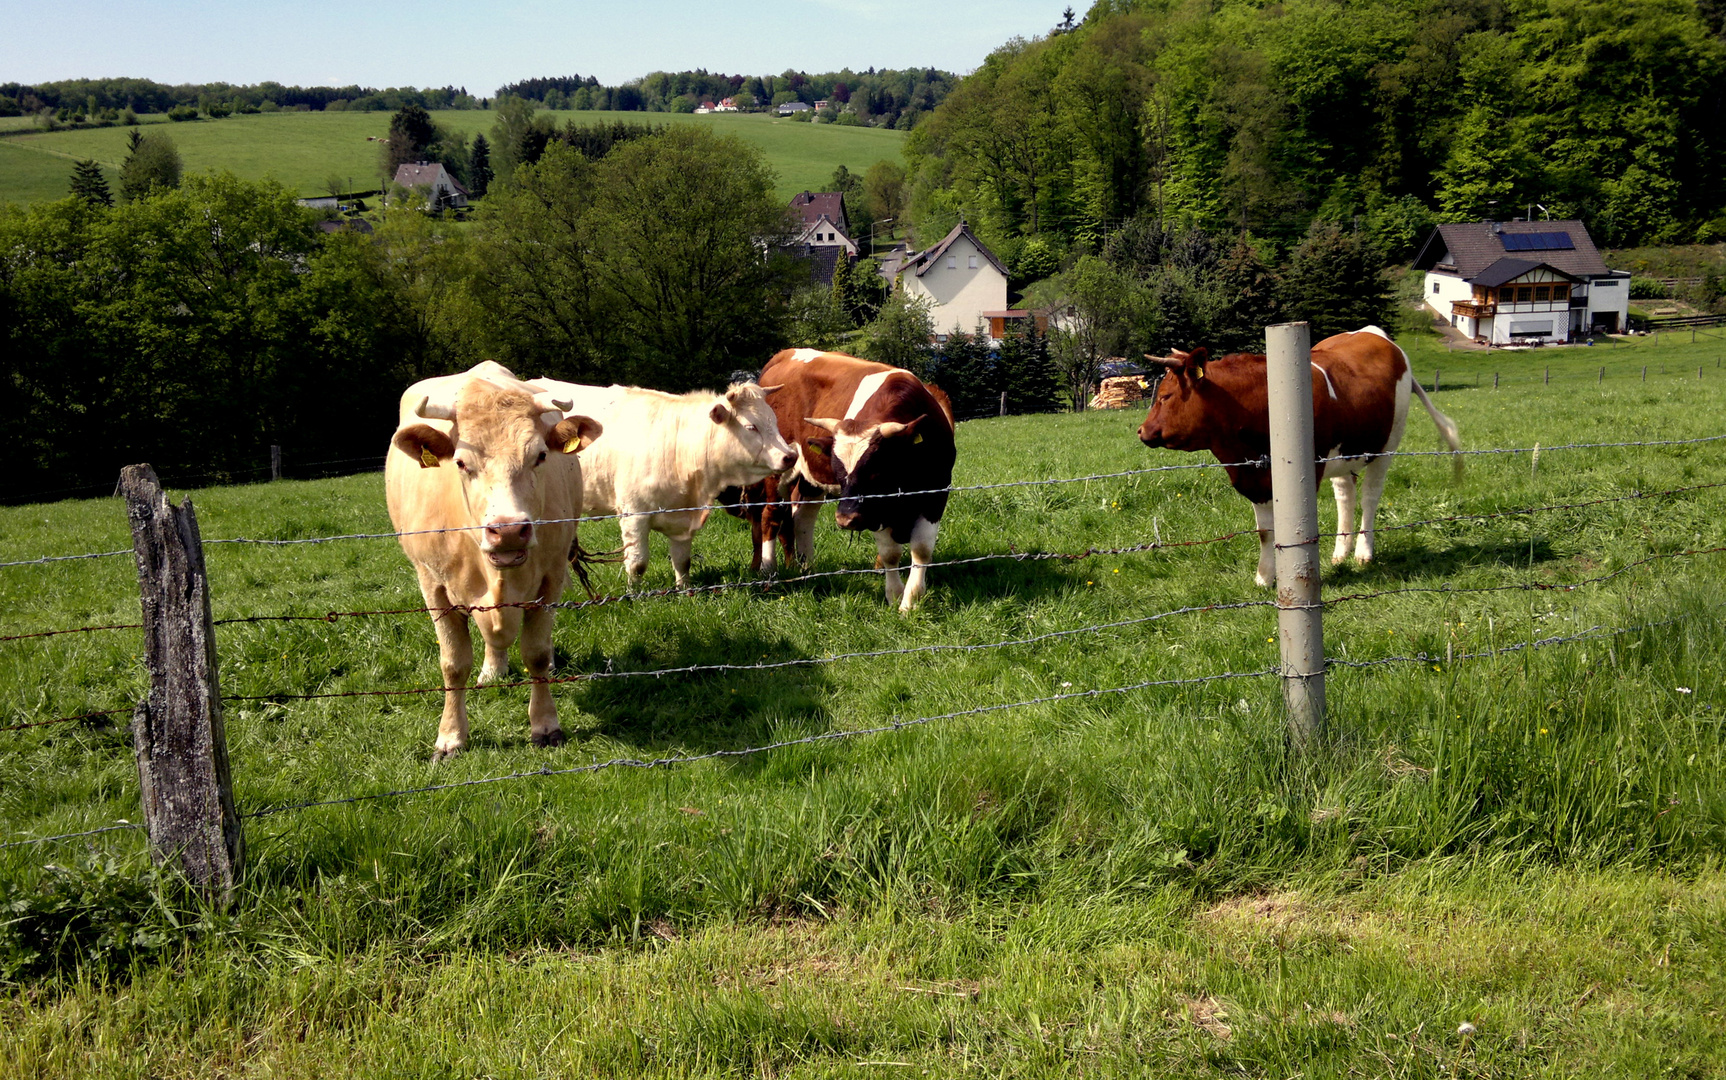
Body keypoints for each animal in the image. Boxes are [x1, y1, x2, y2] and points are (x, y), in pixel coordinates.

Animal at [388, 358, 604, 755]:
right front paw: (450, 736)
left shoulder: (551, 578)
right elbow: (453, 663)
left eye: (540, 456)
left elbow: (537, 654)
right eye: (460, 462)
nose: (507, 531)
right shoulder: (432, 584)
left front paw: (545, 725)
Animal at [528, 374, 797, 583]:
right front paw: (634, 597)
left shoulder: (685, 516)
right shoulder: (634, 514)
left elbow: (683, 561)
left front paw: (684, 592)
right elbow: (637, 564)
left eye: (774, 420)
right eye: (751, 426)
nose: (790, 456)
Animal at [728, 348, 959, 610]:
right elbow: (890, 553)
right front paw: (895, 596)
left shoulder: (936, 493)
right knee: (772, 515)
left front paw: (911, 602)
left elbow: (921, 550)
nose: (845, 519)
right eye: (838, 471)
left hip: (809, 479)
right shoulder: (874, 510)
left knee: (803, 517)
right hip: (777, 471)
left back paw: (808, 569)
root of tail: (785, 353)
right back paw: (769, 570)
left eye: (875, 470)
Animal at [1139, 326, 1463, 583]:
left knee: (1371, 496)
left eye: (1165, 396)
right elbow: (1265, 532)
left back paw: (1363, 552)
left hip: (1386, 446)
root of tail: (1374, 334)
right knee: (1345, 495)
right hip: (1343, 455)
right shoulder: (1253, 476)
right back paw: (1340, 552)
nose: (1142, 431)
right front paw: (1265, 577)